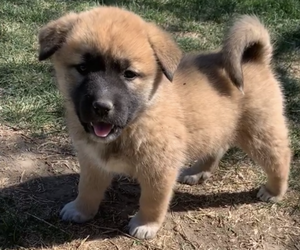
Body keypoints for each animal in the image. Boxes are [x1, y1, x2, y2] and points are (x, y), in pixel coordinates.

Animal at [37, 6, 290, 239]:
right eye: (83, 68)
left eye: (129, 74)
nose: (101, 106)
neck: (138, 120)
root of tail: (254, 59)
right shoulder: (92, 161)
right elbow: (87, 188)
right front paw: (81, 210)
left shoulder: (159, 170)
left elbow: (153, 200)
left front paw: (146, 224)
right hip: (220, 127)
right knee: (218, 147)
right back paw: (198, 172)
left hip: (260, 132)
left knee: (279, 159)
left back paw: (274, 190)